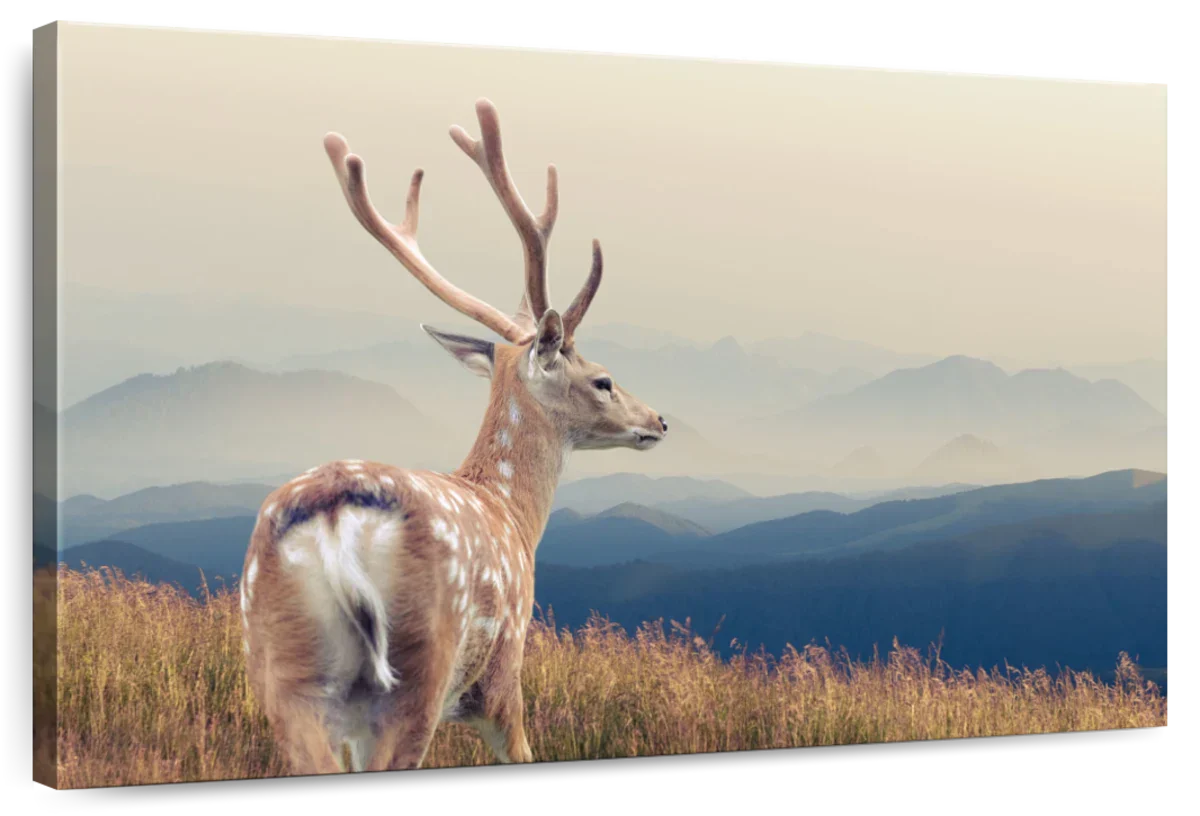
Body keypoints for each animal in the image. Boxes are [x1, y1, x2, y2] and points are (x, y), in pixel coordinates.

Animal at [239, 99, 667, 775]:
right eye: (603, 380)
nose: (657, 421)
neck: (512, 514)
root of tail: (334, 521)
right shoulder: (503, 676)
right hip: (419, 669)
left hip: (282, 669)